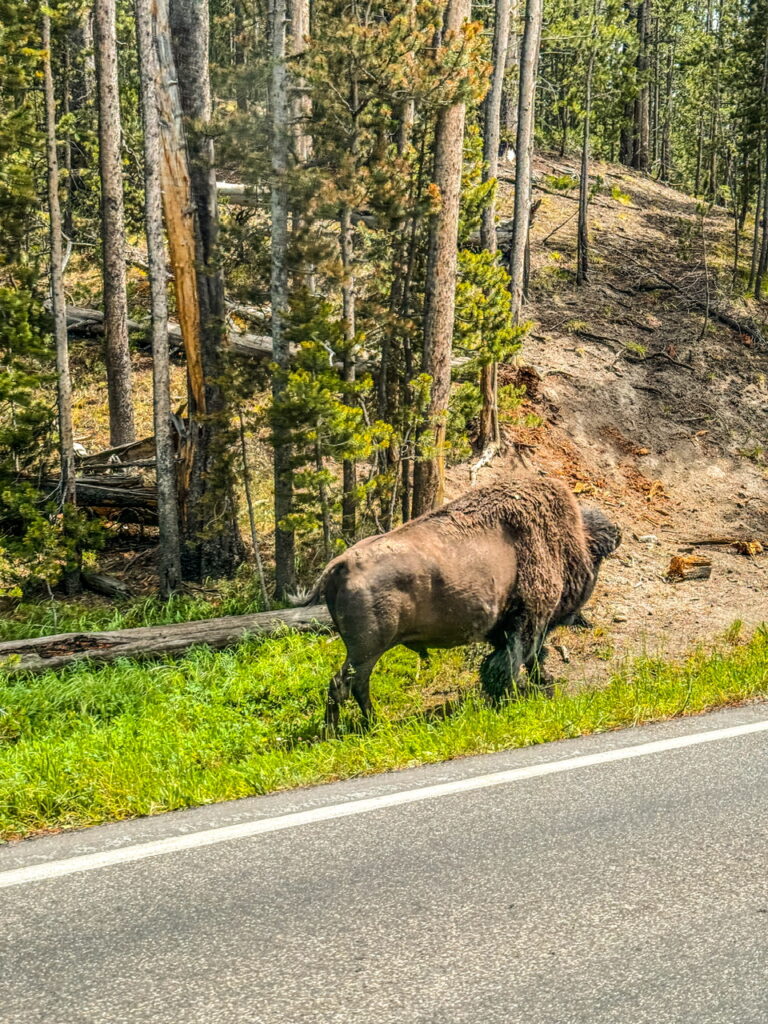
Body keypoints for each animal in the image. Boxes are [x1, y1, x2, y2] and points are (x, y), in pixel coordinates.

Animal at [297, 476, 621, 730]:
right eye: (596, 560)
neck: (564, 543)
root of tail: (341, 564)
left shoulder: (510, 628)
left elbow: (521, 659)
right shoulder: (529, 620)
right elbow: (517, 660)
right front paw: (526, 691)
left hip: (365, 651)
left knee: (353, 685)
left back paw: (363, 726)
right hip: (367, 649)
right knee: (346, 684)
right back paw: (354, 729)